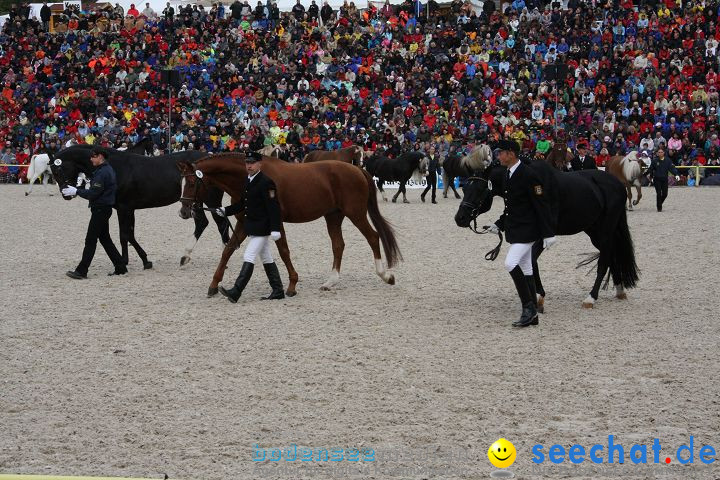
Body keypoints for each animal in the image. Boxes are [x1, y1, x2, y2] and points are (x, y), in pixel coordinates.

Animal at [50, 144, 228, 268]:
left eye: (58, 171)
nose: (66, 195)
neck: (116, 167)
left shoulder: (125, 208)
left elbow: (125, 235)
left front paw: (135, 260)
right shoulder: (126, 209)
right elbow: (127, 235)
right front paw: (134, 260)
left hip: (210, 200)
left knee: (221, 223)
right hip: (194, 203)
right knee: (203, 223)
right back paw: (186, 257)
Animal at [174, 154, 400, 296]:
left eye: (192, 183)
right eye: (181, 182)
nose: (184, 212)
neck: (248, 180)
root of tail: (357, 169)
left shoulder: (275, 222)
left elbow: (283, 251)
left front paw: (292, 285)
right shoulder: (244, 223)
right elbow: (228, 250)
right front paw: (214, 285)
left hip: (356, 214)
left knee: (373, 237)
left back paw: (386, 275)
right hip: (333, 216)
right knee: (338, 245)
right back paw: (330, 282)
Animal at [458, 161, 640, 310]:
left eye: (480, 190)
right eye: (464, 188)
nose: (459, 218)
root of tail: (617, 184)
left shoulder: (541, 235)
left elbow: (532, 261)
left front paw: (539, 296)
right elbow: (530, 262)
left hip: (605, 231)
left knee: (604, 261)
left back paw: (591, 298)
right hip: (594, 231)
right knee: (610, 256)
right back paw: (619, 290)